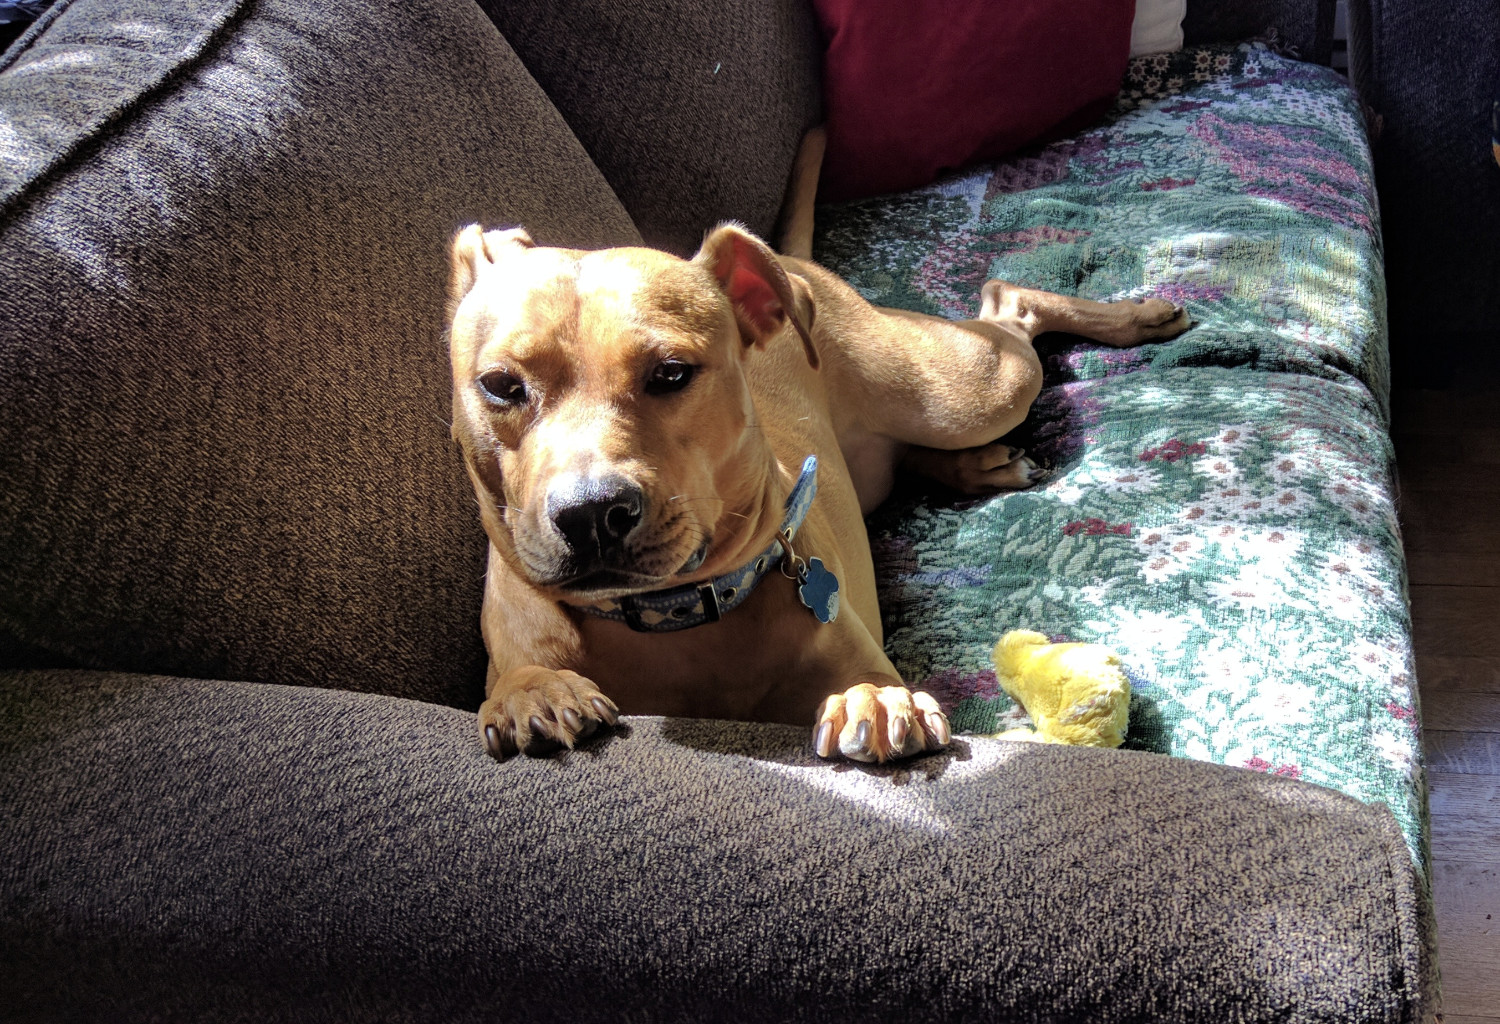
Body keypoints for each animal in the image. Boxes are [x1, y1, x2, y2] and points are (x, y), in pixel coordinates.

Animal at [441, 220, 1182, 764]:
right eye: (501, 385)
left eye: (672, 373)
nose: (593, 512)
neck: (670, 620)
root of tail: (791, 261)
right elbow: (516, 680)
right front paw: (531, 694)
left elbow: (868, 684)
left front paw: (873, 702)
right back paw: (981, 467)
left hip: (966, 391)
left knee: (1009, 300)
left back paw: (1137, 315)